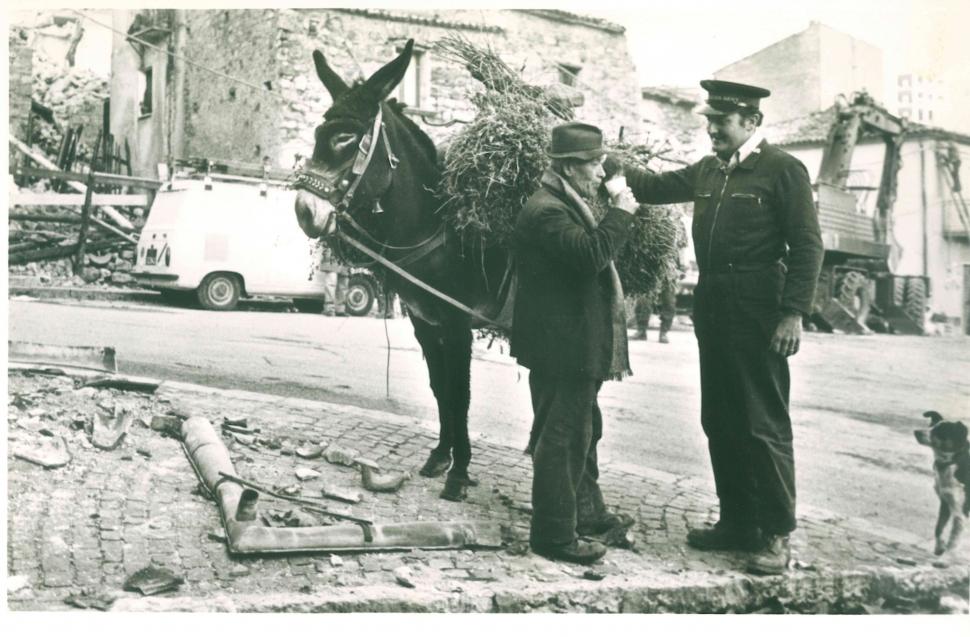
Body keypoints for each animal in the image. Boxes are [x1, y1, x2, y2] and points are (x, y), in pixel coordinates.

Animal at [912, 412, 964, 552]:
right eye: (931, 425)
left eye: (940, 430)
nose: (916, 432)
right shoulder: (945, 503)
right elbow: (939, 527)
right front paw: (939, 547)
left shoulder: (961, 511)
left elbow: (954, 538)